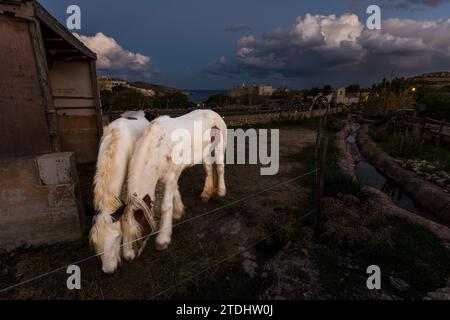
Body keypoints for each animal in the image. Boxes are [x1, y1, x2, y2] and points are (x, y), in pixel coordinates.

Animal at [120, 110, 229, 262]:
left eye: (137, 232)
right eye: (122, 229)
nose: (128, 256)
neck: (158, 147)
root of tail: (215, 114)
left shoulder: (171, 176)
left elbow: (166, 206)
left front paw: (163, 239)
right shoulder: (169, 177)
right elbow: (175, 193)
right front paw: (178, 212)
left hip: (219, 149)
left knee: (219, 168)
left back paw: (221, 191)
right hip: (205, 151)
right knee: (208, 169)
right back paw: (206, 194)